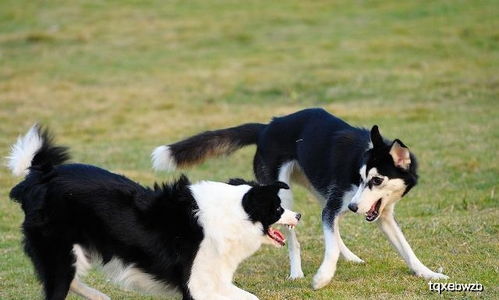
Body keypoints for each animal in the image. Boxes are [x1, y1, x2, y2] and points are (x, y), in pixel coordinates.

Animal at [8, 125, 300, 300]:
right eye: (277, 208)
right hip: (59, 252)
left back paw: (99, 296)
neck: (234, 213)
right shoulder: (197, 284)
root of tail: (39, 176)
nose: (298, 216)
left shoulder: (214, 281)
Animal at [151, 107, 450, 288]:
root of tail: (267, 127)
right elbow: (329, 246)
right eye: (361, 177)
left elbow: (406, 249)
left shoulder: (381, 214)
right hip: (284, 197)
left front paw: (428, 273)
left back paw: (350, 256)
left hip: (318, 189)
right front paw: (322, 278)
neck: (362, 154)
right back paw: (297, 272)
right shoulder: (336, 205)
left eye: (376, 180)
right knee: (294, 238)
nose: (354, 207)